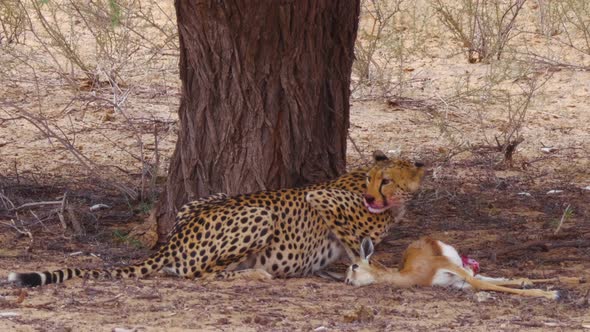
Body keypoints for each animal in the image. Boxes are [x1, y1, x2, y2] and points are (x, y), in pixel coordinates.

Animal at [8, 150, 426, 286]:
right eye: (372, 180)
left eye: (386, 180)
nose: (371, 197)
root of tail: (174, 238)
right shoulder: (319, 196)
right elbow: (358, 245)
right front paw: (370, 267)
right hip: (259, 213)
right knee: (199, 274)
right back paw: (255, 275)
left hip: (203, 199)